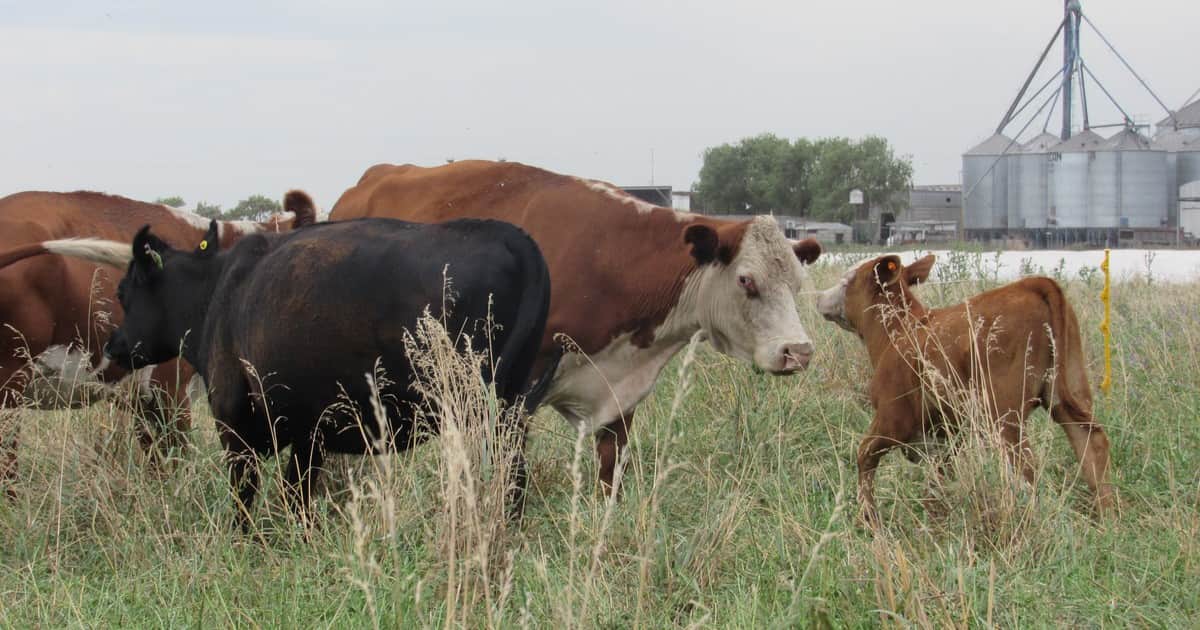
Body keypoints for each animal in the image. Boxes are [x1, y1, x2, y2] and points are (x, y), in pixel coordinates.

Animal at [53, 207, 554, 529]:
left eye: (124, 292)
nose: (115, 346)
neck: (218, 295)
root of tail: (509, 236)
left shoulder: (234, 426)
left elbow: (247, 497)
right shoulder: (308, 435)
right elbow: (298, 497)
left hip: (475, 402)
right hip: (508, 406)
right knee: (515, 474)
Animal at [329, 160, 822, 493]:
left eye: (798, 283)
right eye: (746, 280)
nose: (798, 351)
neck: (613, 261)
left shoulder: (620, 393)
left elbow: (610, 472)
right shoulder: (514, 394)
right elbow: (511, 476)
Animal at [815, 253, 1115, 525]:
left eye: (847, 280)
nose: (819, 297)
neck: (898, 331)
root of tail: (1031, 284)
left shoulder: (892, 417)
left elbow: (865, 455)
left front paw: (868, 518)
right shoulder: (945, 434)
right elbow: (938, 480)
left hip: (1003, 413)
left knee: (1025, 466)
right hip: (1067, 391)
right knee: (1091, 443)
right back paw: (1106, 519)